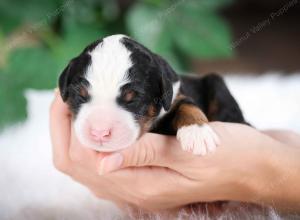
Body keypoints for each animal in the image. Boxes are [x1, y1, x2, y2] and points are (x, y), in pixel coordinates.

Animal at [58, 34, 246, 155]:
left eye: (132, 99)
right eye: (80, 95)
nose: (99, 132)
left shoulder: (174, 96)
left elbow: (186, 104)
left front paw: (197, 132)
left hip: (216, 84)